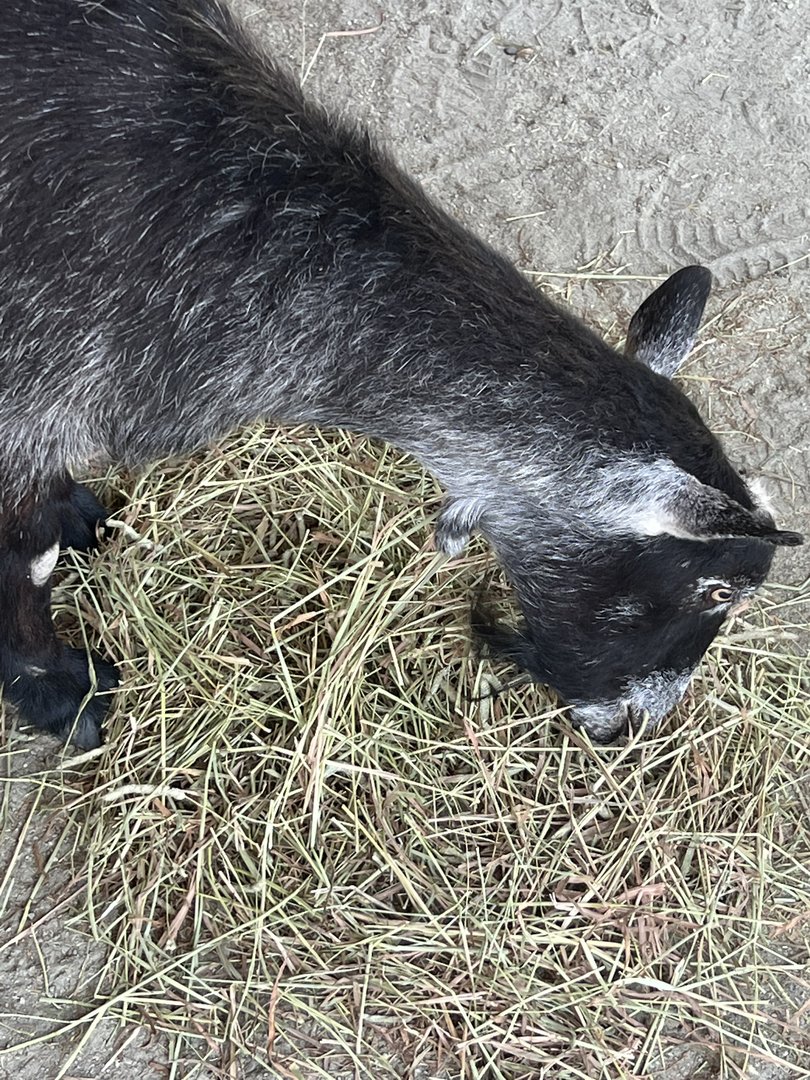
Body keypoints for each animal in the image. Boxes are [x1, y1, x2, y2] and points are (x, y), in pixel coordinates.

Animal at [0, 0, 801, 749]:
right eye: (717, 591)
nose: (637, 725)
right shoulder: (26, 389)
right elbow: (25, 559)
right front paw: (62, 696)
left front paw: (75, 511)